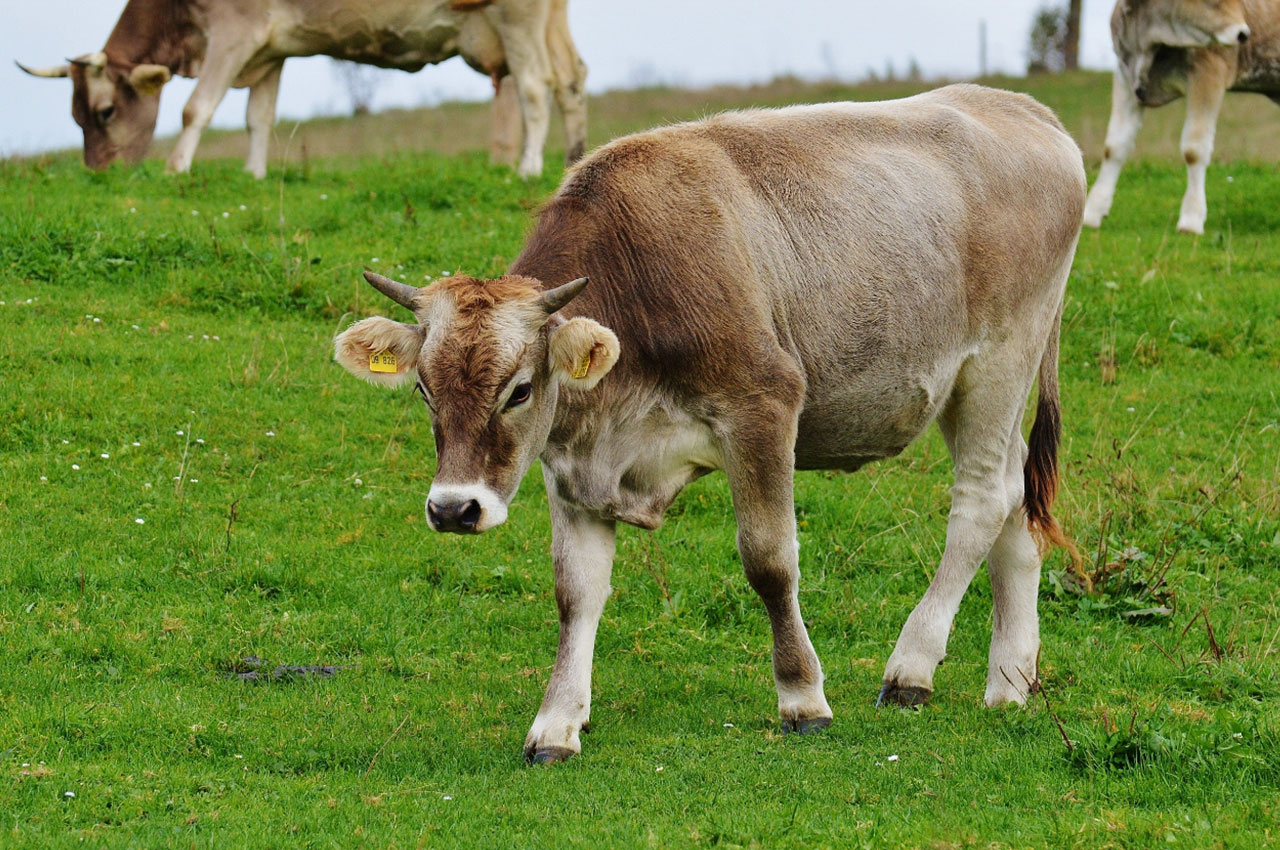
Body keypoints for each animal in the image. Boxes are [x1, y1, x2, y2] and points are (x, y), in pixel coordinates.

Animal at [17, 0, 586, 177]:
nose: (99, 174)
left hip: (517, 19)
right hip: (550, 22)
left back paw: (528, 167)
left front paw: (177, 168)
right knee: (572, 82)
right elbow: (258, 118)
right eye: (75, 118)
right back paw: (573, 162)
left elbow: (197, 108)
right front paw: (254, 174)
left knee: (535, 89)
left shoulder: (234, 32)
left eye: (106, 112)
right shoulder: (271, 50)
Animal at [335, 86, 1085, 762]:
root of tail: (1026, 110)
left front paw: (803, 699)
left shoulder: (763, 407)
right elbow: (576, 594)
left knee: (981, 499)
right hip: (975, 386)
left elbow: (770, 561)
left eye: (519, 391)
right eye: (425, 390)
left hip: (998, 361)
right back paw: (1011, 680)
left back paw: (912, 668)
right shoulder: (573, 467)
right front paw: (556, 724)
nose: (454, 508)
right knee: (1015, 500)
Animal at [1080, 0, 1269, 232]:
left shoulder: (1209, 71)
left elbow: (1194, 150)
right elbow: (1114, 147)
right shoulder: (1126, 75)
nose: (1243, 34)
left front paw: (1191, 218)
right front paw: (1092, 211)